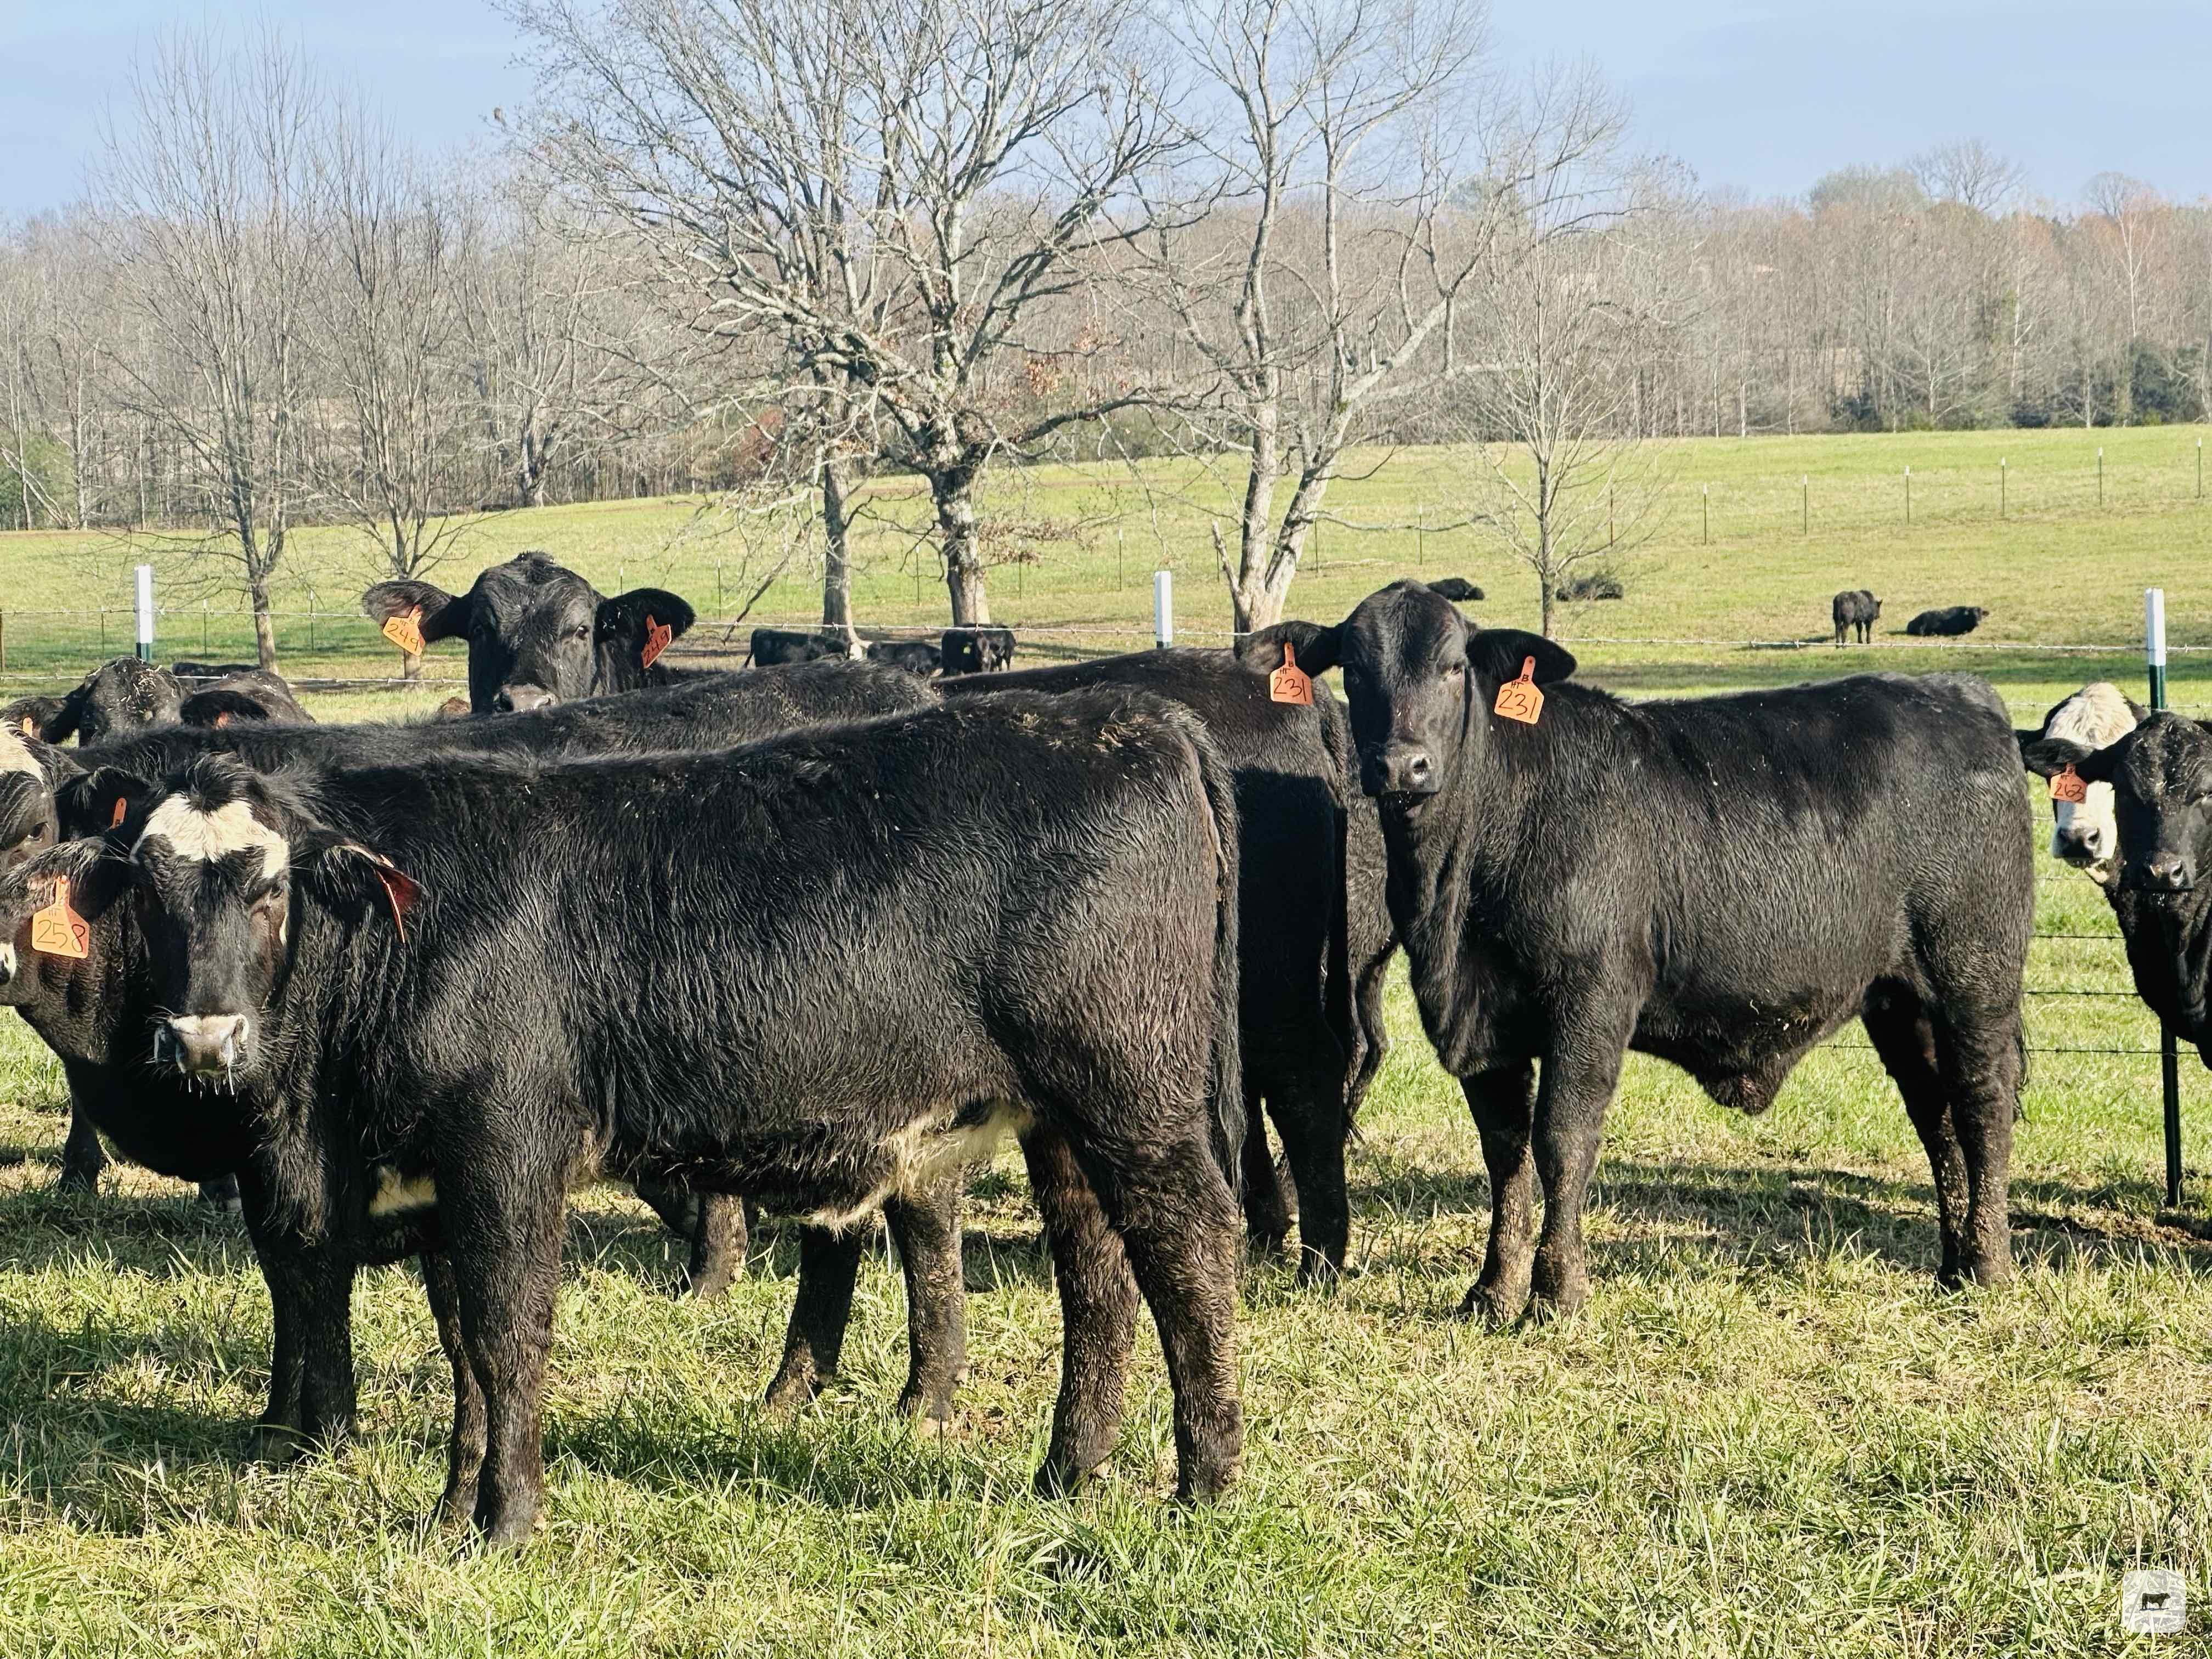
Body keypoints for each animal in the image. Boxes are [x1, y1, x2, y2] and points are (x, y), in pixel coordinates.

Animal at [112, 686, 1245, 1541]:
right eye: (150, 891)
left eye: (270, 887)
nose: (203, 1037)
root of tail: (1137, 716)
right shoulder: (439, 1175)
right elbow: (463, 1347)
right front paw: (451, 1508)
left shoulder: (508, 1150)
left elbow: (508, 1332)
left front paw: (506, 1520)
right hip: (1062, 1120)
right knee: (1095, 1274)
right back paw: (1068, 1470)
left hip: (1131, 1094)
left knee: (1186, 1250)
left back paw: (1205, 1483)